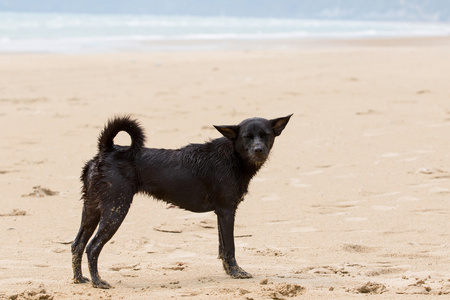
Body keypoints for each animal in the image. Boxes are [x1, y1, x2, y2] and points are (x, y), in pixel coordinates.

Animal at [71, 114, 292, 288]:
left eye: (266, 135)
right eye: (247, 137)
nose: (258, 150)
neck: (233, 155)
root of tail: (107, 151)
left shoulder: (220, 214)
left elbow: (222, 248)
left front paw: (229, 272)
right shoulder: (227, 211)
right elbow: (230, 247)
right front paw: (237, 273)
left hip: (91, 208)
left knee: (77, 244)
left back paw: (79, 279)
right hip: (116, 209)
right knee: (92, 247)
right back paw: (98, 282)